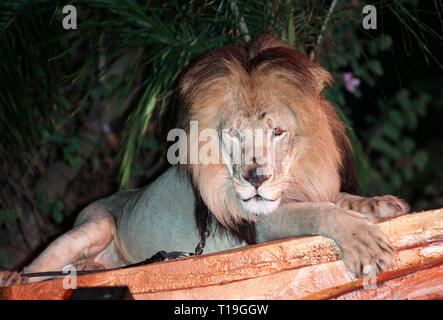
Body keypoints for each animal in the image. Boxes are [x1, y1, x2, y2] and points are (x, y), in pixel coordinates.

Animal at [0, 35, 410, 288]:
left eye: (277, 132)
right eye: (234, 133)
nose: (256, 178)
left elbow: (339, 199)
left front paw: (379, 204)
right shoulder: (256, 223)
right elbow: (320, 211)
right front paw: (363, 239)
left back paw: (89, 268)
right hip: (91, 228)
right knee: (33, 270)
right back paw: (18, 276)